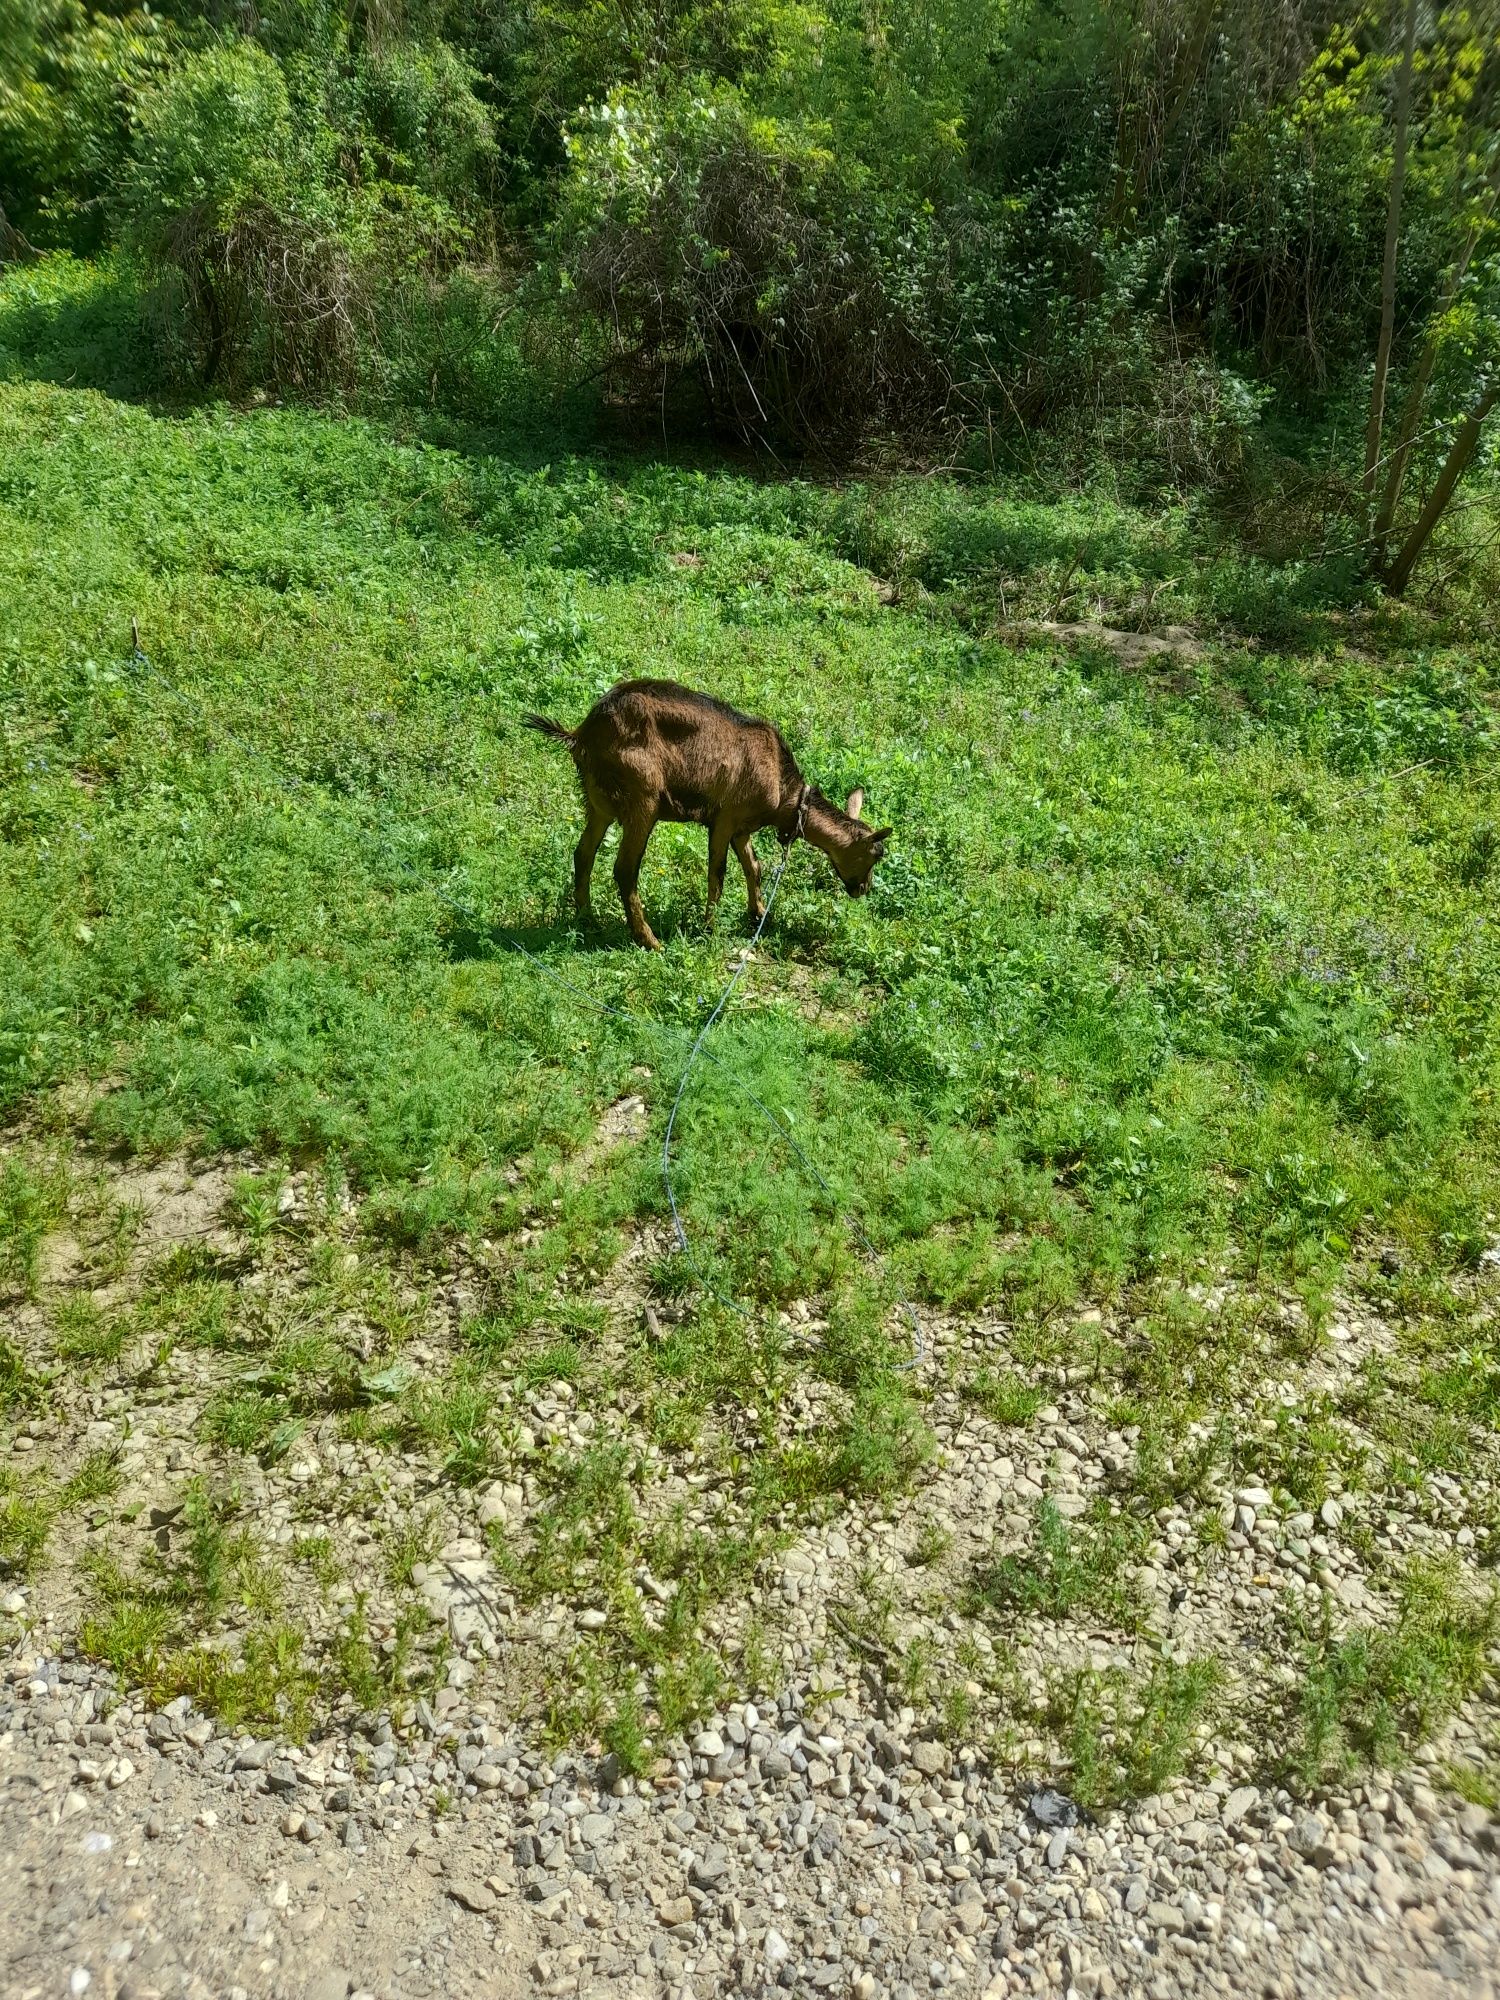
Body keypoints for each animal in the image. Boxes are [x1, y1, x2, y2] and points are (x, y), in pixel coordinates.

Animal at [524, 676, 892, 948]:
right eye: (875, 854)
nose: (863, 889)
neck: (783, 791)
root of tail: (581, 734)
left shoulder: (742, 827)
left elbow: (754, 867)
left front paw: (759, 914)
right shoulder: (725, 818)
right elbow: (718, 872)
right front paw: (710, 928)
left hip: (598, 801)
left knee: (583, 853)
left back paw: (587, 919)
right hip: (643, 797)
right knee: (625, 869)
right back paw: (649, 940)